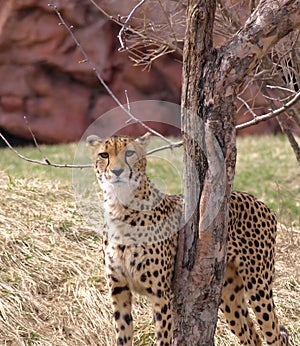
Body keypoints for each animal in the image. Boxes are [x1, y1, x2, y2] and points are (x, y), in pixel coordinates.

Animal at [86, 132, 288, 346]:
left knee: (275, 336)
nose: (117, 172)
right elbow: (123, 336)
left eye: (130, 153)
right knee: (252, 337)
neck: (120, 207)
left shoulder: (161, 295)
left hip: (258, 286)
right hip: (228, 292)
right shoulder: (119, 291)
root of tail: (259, 201)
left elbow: (163, 338)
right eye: (104, 154)